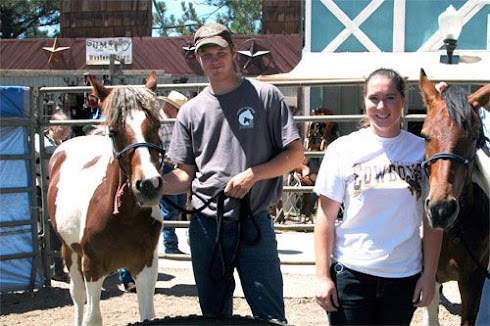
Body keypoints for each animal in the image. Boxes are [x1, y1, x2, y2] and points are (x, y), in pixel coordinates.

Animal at [48, 72, 166, 326]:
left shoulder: (146, 266)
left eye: (157, 126)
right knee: (77, 295)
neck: (123, 218)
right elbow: (92, 317)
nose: (149, 184)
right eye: (114, 131)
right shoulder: (92, 267)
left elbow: (148, 314)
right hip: (70, 251)